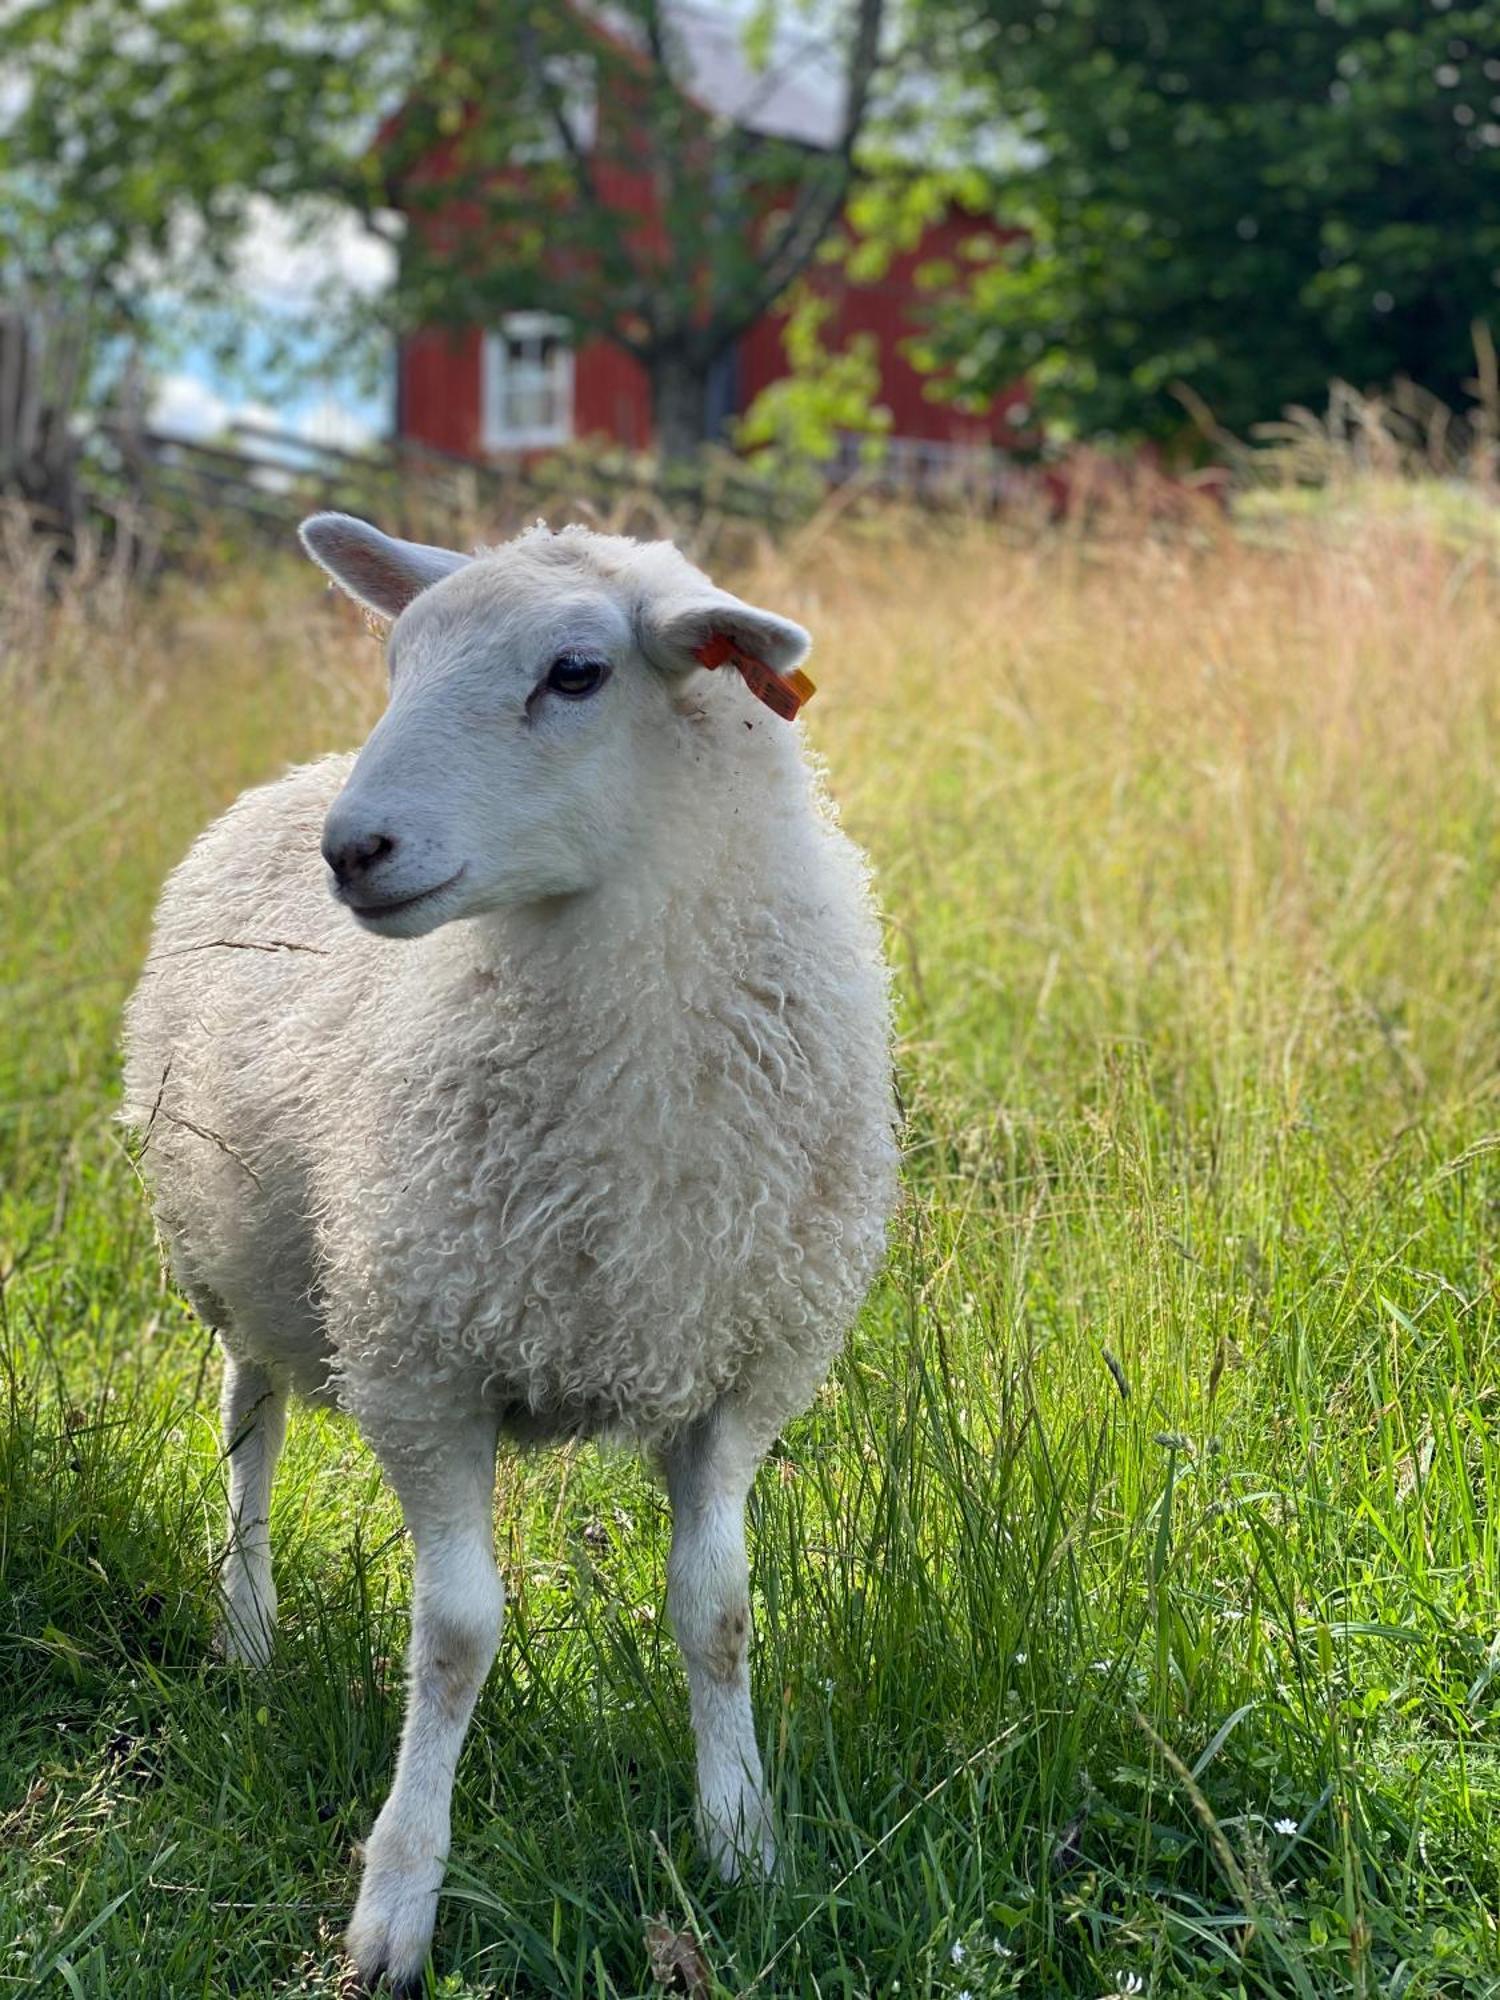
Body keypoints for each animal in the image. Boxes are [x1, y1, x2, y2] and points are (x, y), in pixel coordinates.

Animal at [123, 512, 900, 1984]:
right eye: (399, 658)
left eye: (577, 672)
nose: (354, 850)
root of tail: (289, 777)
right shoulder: (421, 1361)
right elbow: (456, 1634)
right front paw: (396, 1903)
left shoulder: (738, 1374)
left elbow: (719, 1612)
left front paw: (744, 1843)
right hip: (241, 1257)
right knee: (250, 1425)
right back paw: (245, 1629)